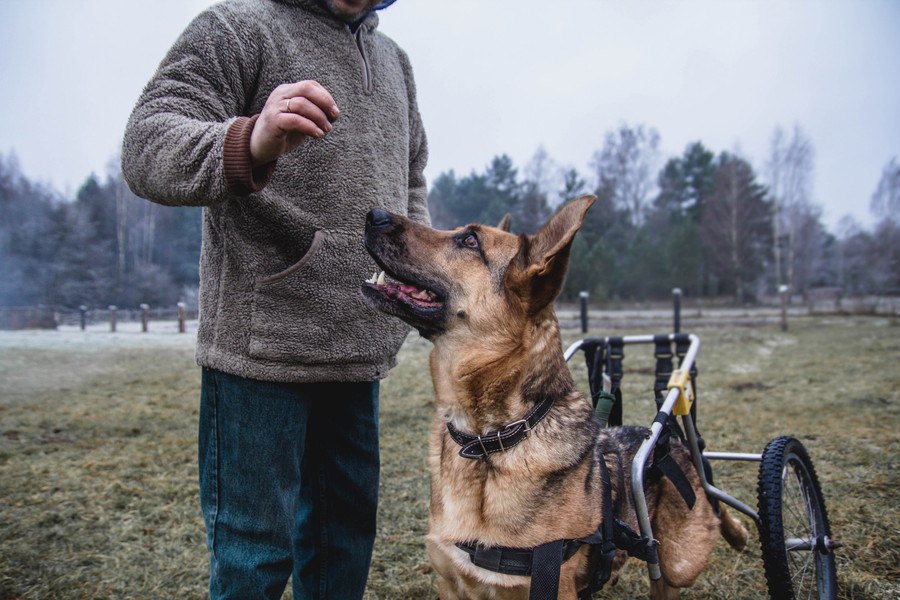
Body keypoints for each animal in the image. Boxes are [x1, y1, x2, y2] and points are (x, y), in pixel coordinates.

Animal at [358, 195, 744, 596]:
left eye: (470, 241)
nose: (373, 214)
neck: (489, 443)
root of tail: (673, 442)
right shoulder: (451, 585)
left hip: (680, 559)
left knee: (711, 511)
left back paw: (737, 529)